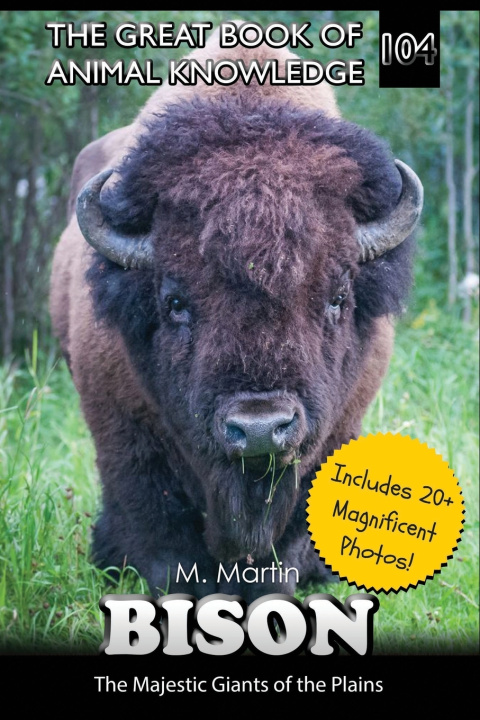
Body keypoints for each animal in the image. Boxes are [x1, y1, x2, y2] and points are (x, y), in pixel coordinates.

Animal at [50, 29, 423, 601]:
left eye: (338, 297)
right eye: (175, 303)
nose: (261, 428)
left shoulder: (330, 435)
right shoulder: (125, 437)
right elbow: (164, 543)